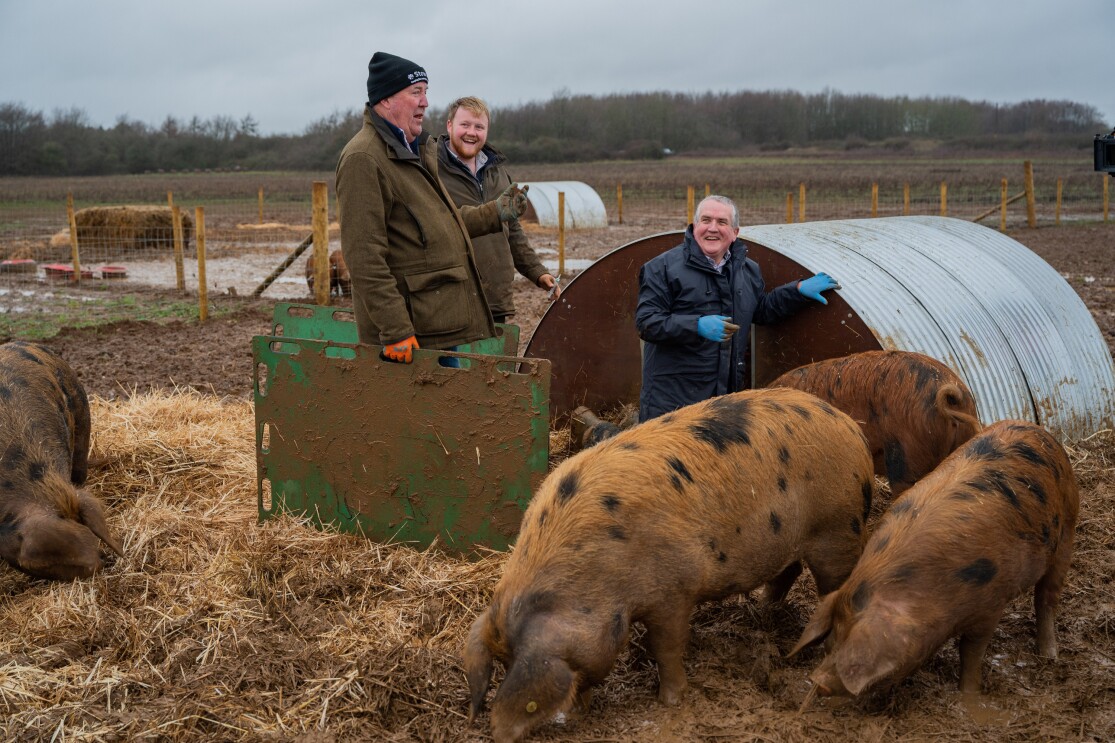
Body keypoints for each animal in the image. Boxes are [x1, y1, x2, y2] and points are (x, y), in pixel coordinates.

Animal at [463, 383, 878, 736]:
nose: (498, 733)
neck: (598, 574)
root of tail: (852, 429)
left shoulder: (673, 591)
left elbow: (667, 645)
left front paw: (671, 701)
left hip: (839, 528)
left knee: (835, 591)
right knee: (788, 570)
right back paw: (764, 608)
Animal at [789, 419, 1074, 696]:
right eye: (829, 645)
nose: (819, 682)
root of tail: (1036, 429)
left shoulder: (992, 603)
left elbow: (971, 651)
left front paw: (968, 695)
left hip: (1067, 531)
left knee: (1047, 597)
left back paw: (1049, 655)